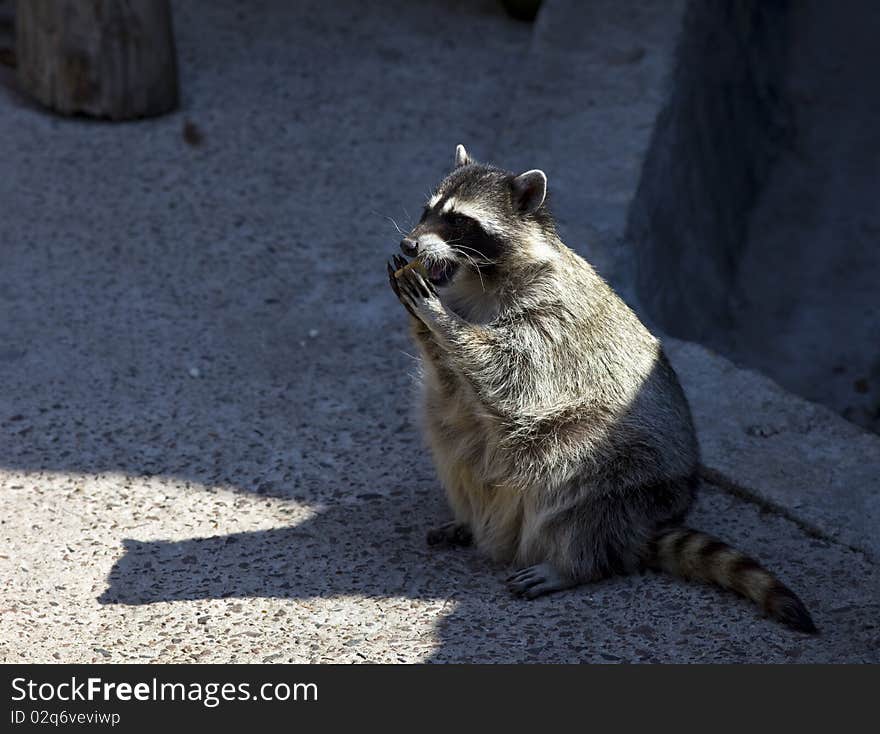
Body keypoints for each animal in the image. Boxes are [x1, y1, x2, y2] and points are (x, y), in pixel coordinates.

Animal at [384, 145, 820, 640]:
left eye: (459, 221)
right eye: (428, 210)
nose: (409, 245)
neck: (479, 277)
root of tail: (644, 523)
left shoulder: (549, 316)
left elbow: (508, 372)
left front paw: (437, 316)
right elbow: (453, 382)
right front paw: (425, 321)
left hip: (623, 472)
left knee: (572, 473)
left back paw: (573, 563)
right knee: (449, 430)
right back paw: (470, 522)